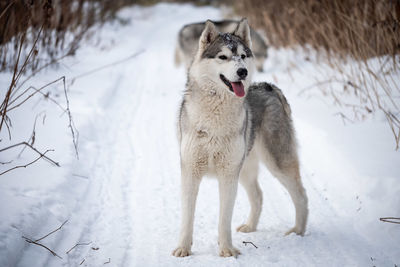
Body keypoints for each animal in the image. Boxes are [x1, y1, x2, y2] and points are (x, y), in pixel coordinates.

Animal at [173, 19, 310, 260]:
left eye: (243, 56)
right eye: (223, 57)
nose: (243, 71)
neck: (214, 120)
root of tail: (268, 86)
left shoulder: (228, 175)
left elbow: (224, 218)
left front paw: (227, 250)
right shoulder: (190, 172)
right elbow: (187, 217)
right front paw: (183, 249)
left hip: (277, 163)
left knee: (301, 195)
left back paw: (297, 232)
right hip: (246, 168)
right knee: (258, 196)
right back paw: (250, 227)